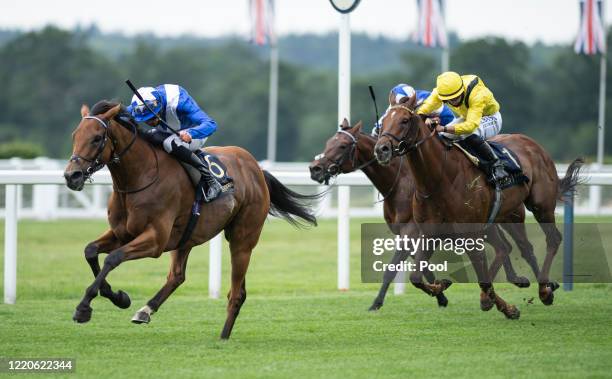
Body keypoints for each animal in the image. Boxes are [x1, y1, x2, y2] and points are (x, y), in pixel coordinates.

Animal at [64, 100, 318, 338]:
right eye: (75, 135)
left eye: (97, 138)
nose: (71, 176)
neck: (140, 177)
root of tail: (256, 169)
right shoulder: (122, 233)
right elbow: (90, 251)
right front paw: (117, 297)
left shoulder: (155, 240)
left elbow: (112, 258)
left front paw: (84, 308)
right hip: (186, 237)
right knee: (178, 276)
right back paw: (145, 310)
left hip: (243, 239)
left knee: (236, 293)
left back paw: (223, 337)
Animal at [310, 119, 540, 312]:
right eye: (328, 142)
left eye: (342, 146)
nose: (315, 168)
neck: (402, 183)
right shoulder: (416, 234)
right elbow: (422, 266)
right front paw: (441, 292)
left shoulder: (411, 232)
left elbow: (392, 268)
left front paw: (376, 303)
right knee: (504, 247)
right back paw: (512, 282)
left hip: (511, 216)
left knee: (523, 247)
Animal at [372, 93, 584, 320]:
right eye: (382, 122)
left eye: (404, 120)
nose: (381, 149)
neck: (438, 179)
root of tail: (532, 144)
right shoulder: (430, 234)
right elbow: (416, 277)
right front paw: (443, 286)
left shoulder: (469, 234)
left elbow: (483, 279)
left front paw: (504, 307)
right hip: (508, 215)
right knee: (517, 247)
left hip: (541, 206)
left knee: (551, 239)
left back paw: (544, 290)